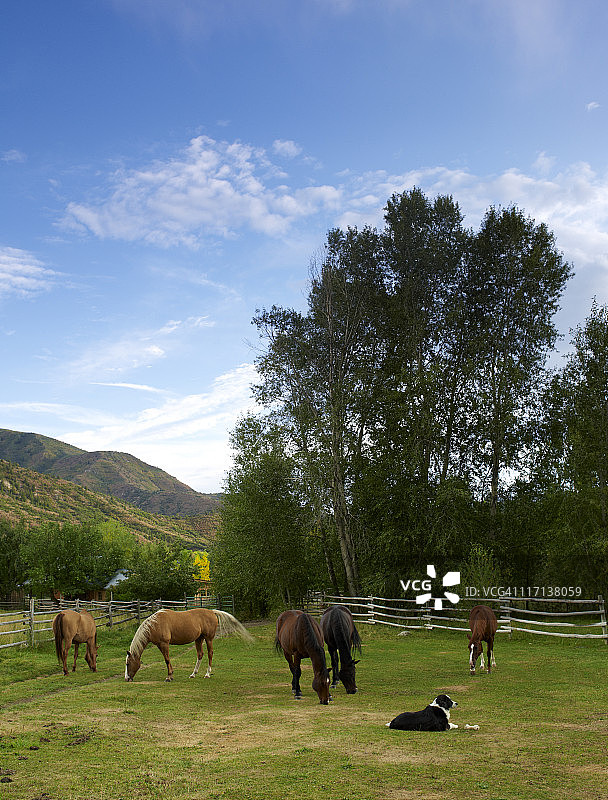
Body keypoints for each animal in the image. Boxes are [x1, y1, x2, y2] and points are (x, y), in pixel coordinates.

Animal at [124, 608, 253, 680]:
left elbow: (167, 660)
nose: (127, 678)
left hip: (208, 639)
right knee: (200, 655)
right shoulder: (160, 645)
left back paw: (207, 674)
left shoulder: (164, 644)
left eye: (128, 664)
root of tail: (212, 612)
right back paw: (193, 674)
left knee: (210, 653)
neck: (155, 624)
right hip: (199, 639)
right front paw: (171, 675)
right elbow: (167, 659)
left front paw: (169, 676)